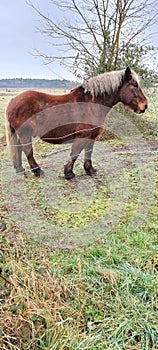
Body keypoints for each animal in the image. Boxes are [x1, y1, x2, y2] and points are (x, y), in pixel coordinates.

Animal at [5, 67, 148, 179]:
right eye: (135, 85)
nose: (145, 106)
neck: (91, 103)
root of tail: (13, 100)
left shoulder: (91, 136)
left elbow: (88, 152)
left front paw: (90, 170)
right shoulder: (82, 136)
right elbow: (75, 153)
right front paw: (68, 173)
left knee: (18, 148)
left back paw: (20, 170)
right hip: (25, 133)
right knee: (27, 150)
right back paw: (37, 171)